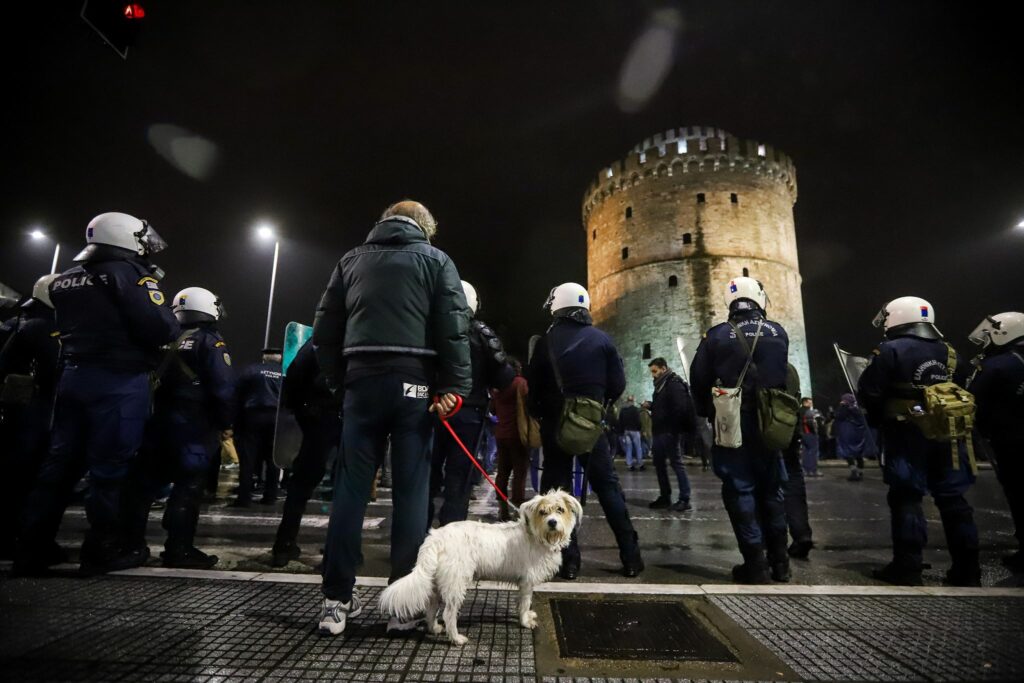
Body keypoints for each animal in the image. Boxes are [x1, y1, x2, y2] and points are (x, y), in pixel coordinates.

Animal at [378, 489, 585, 643]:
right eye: (543, 512)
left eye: (560, 509)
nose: (552, 522)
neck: (537, 535)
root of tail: (436, 538)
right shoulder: (527, 582)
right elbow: (525, 602)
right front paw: (525, 622)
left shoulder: (524, 583)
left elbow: (522, 603)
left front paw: (527, 616)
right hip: (456, 583)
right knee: (448, 613)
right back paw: (456, 639)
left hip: (437, 582)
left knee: (431, 607)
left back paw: (434, 628)